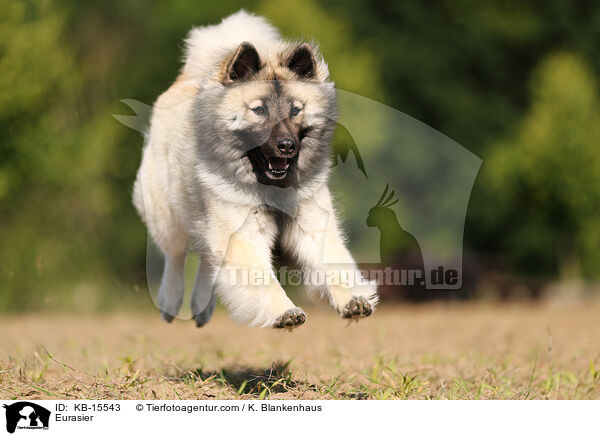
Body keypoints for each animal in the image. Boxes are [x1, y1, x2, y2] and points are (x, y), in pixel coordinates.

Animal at [134, 9, 378, 330]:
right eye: (259, 111)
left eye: (295, 110)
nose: (286, 146)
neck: (272, 187)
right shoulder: (241, 233)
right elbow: (262, 279)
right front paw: (284, 312)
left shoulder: (312, 223)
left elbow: (332, 262)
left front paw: (353, 300)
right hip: (170, 215)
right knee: (175, 256)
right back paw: (171, 301)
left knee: (206, 260)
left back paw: (201, 307)